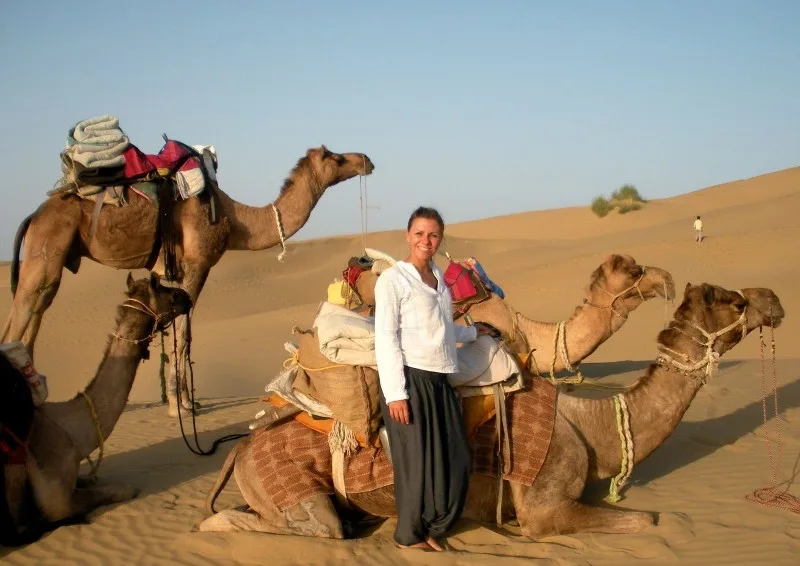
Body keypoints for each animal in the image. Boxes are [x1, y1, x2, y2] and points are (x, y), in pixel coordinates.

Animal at [2, 146, 375, 417]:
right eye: (337, 157)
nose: (366, 160)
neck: (236, 220)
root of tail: (34, 215)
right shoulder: (196, 265)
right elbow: (183, 333)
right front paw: (180, 406)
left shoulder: (166, 272)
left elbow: (174, 330)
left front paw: (181, 400)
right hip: (47, 247)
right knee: (23, 312)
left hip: (57, 256)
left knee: (35, 311)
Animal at [197, 281, 784, 540]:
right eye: (734, 301)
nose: (774, 298)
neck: (591, 430)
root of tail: (242, 449)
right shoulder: (545, 505)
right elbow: (647, 518)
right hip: (292, 489)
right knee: (296, 527)